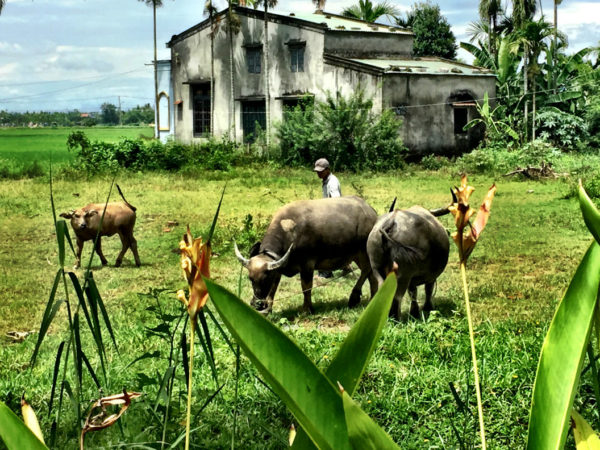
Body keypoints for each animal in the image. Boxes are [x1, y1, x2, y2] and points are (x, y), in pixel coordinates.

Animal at [233, 195, 378, 314]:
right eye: (250, 278)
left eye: (265, 279)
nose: (257, 305)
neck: (291, 232)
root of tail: (372, 212)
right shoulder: (278, 268)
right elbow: (274, 288)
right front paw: (268, 308)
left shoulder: (307, 264)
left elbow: (306, 287)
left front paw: (307, 309)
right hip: (357, 255)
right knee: (371, 275)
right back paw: (373, 298)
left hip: (363, 251)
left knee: (366, 270)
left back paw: (354, 298)